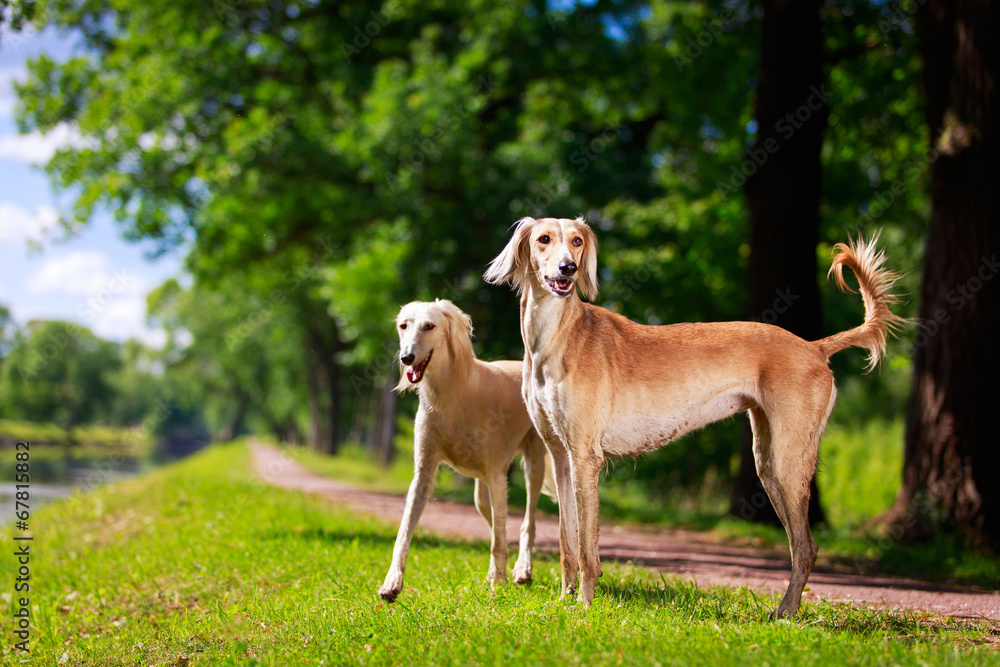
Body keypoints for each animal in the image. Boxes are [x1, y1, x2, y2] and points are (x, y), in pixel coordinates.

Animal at [378, 300, 552, 604]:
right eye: (403, 325)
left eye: (429, 326)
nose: (407, 358)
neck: (451, 392)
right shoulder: (424, 472)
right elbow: (403, 534)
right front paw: (392, 583)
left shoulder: (497, 474)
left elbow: (500, 539)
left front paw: (499, 584)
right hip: (480, 493)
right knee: (496, 522)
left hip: (533, 463)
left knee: (527, 522)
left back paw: (523, 569)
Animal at [484, 217, 908, 620]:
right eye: (543, 239)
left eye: (576, 241)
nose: (568, 269)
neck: (558, 335)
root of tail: (813, 347)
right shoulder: (561, 456)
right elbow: (567, 543)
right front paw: (564, 601)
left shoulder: (587, 458)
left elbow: (588, 550)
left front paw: (586, 608)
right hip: (768, 462)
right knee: (801, 544)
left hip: (788, 463)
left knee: (806, 548)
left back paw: (786, 613)